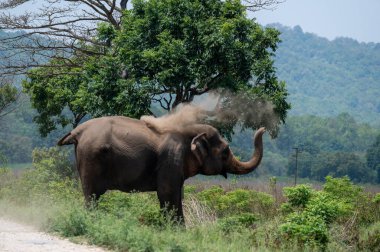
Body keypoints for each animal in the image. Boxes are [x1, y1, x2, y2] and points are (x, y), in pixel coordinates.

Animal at [57, 115, 264, 221]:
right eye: (225, 151)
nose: (262, 128)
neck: (191, 131)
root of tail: (78, 131)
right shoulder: (171, 159)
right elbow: (167, 194)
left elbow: (175, 195)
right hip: (91, 157)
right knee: (92, 195)